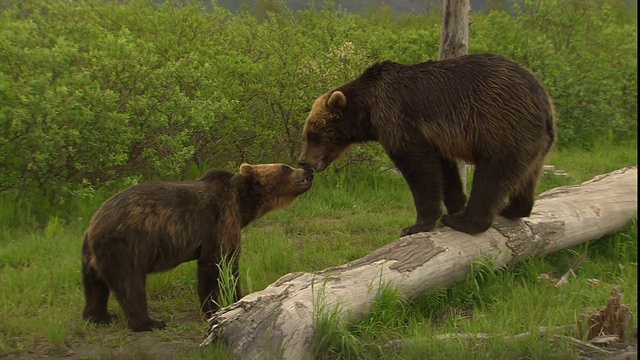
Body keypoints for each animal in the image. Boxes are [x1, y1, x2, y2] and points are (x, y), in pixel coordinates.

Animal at [81, 163, 312, 332]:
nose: (308, 170)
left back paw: (99, 316)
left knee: (94, 286)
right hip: (127, 245)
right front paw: (222, 305)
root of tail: (94, 224)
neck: (242, 204)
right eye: (285, 167)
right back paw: (148, 322)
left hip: (90, 254)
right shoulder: (220, 222)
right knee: (130, 283)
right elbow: (219, 266)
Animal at [300, 51, 556, 236]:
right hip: (534, 144)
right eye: (307, 133)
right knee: (526, 177)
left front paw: (418, 224)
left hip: (502, 126)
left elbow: (421, 170)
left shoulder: (400, 120)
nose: (303, 161)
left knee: (493, 176)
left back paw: (464, 221)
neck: (369, 111)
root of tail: (545, 104)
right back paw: (509, 209)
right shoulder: (435, 137)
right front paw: (455, 204)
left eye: (313, 134)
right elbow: (446, 172)